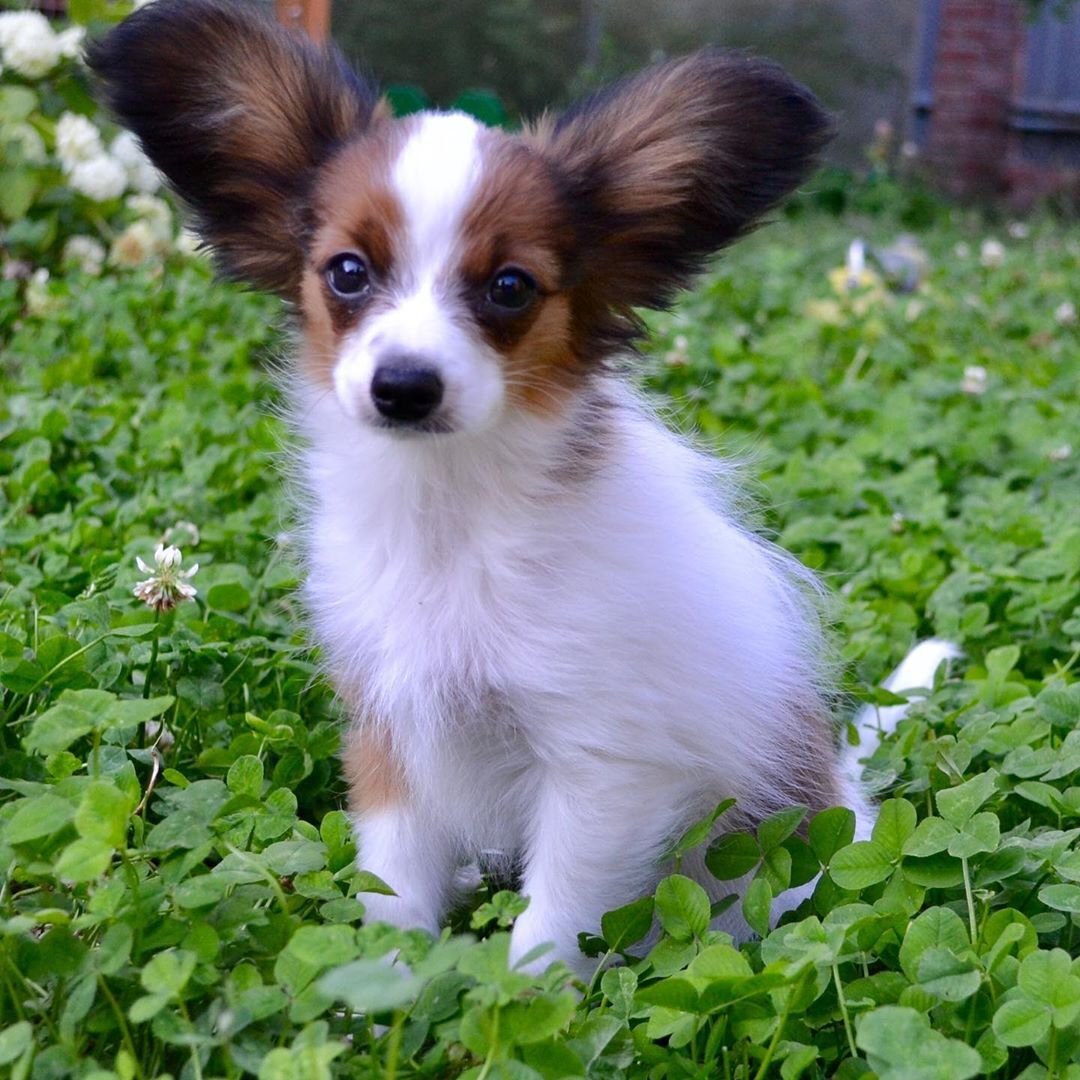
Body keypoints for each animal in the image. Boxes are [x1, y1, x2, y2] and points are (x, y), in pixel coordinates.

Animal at [90, 0, 954, 976]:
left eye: (510, 287)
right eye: (348, 272)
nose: (404, 386)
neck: (450, 515)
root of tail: (842, 782)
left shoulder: (602, 768)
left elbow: (550, 930)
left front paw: (519, 1001)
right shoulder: (389, 729)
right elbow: (393, 891)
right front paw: (380, 990)